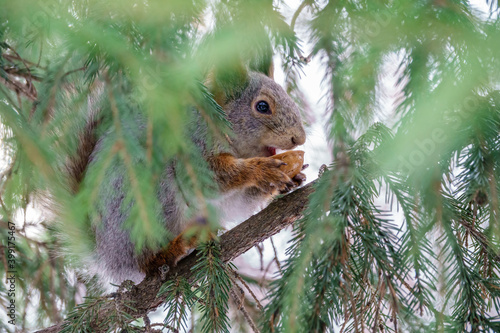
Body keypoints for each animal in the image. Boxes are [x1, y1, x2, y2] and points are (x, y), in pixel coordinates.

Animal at [69, 65, 306, 286]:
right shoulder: (192, 145)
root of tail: (107, 255)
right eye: (262, 106)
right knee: (146, 262)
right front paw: (262, 170)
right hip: (148, 202)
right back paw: (173, 249)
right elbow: (206, 180)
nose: (300, 139)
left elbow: (238, 203)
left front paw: (290, 180)